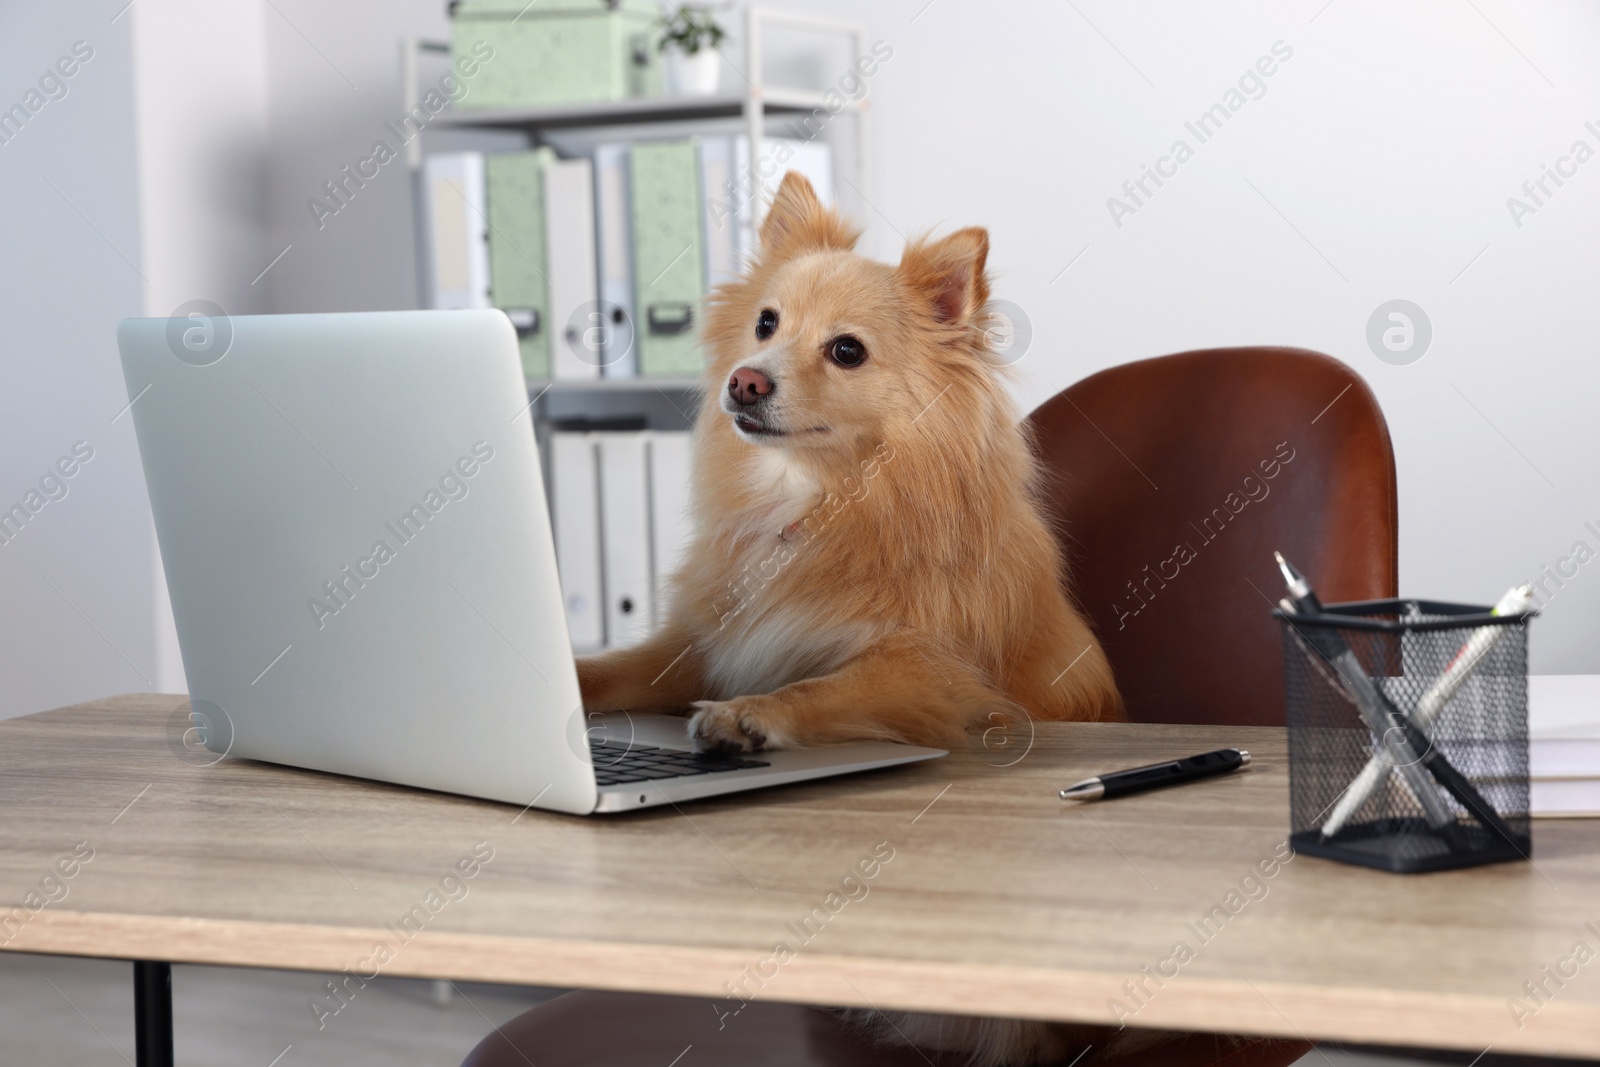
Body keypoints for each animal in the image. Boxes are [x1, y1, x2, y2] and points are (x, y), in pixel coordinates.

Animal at [579, 171, 1126, 751]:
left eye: (846, 351)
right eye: (765, 323)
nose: (744, 381)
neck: (810, 500)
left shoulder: (931, 673)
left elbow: (817, 688)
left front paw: (747, 714)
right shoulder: (699, 646)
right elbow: (613, 668)